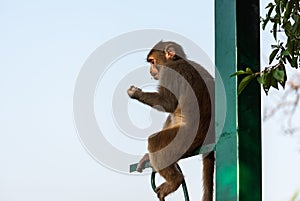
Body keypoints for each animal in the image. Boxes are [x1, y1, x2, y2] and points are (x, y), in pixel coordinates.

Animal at [127, 40, 214, 201]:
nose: (150, 71)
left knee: (155, 141)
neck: (175, 60)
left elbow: (167, 103)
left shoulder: (170, 73)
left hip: (186, 139)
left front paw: (136, 93)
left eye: (152, 62)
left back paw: (175, 181)